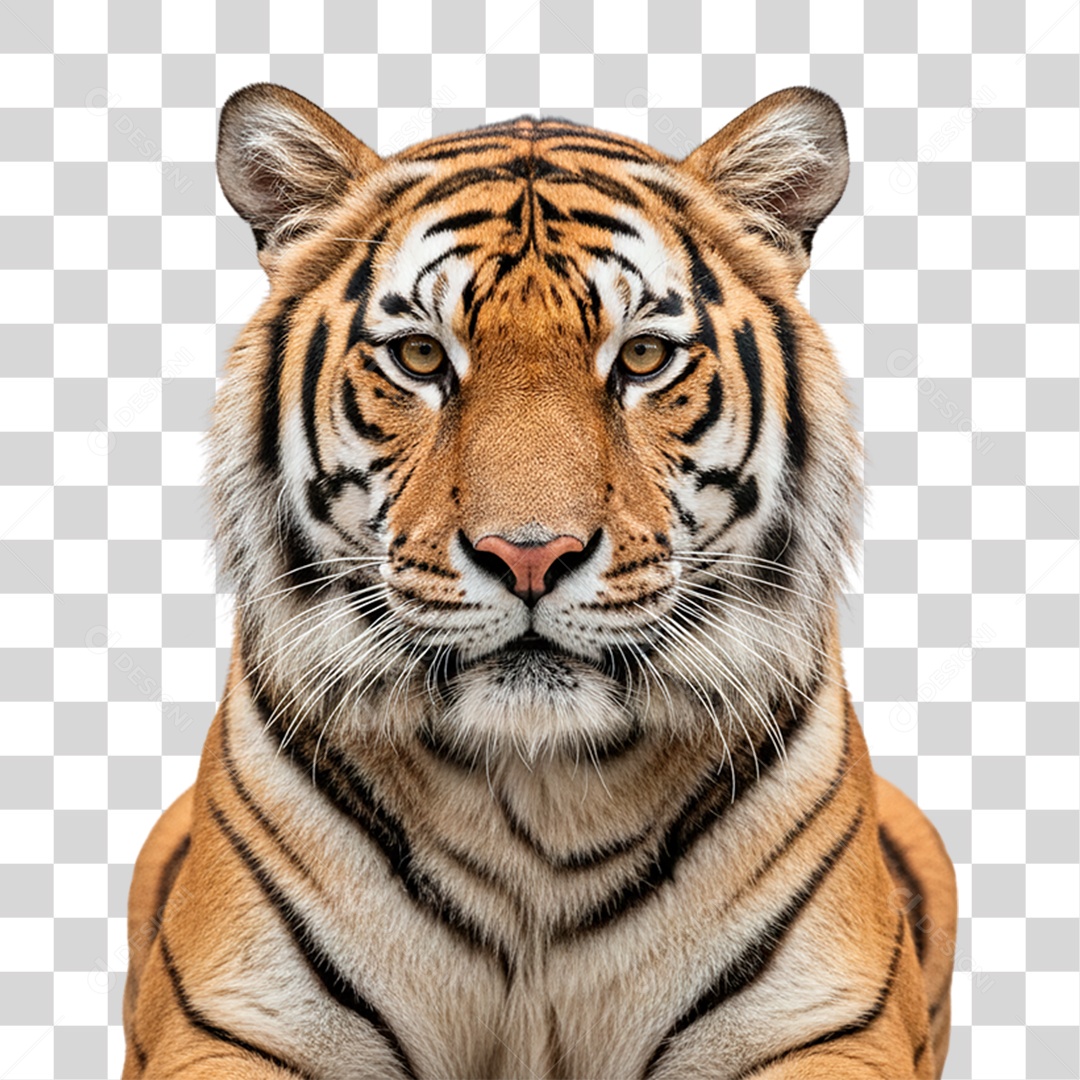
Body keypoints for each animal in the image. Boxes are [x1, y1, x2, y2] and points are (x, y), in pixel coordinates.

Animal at [122, 83, 957, 1079]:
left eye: (642, 358)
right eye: (420, 357)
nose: (529, 554)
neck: (537, 797)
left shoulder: (819, 1023)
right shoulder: (237, 1016)